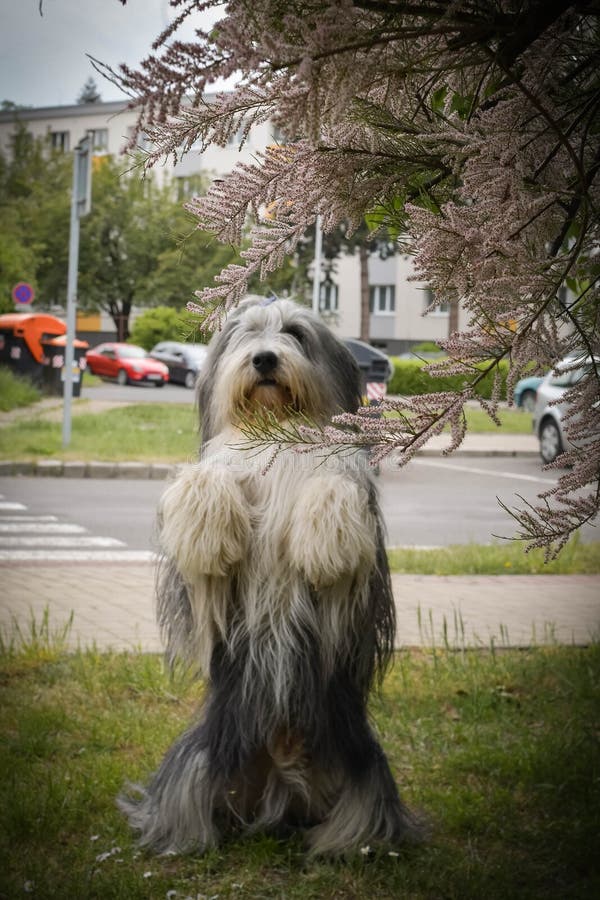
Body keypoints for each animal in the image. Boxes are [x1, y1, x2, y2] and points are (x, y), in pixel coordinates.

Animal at [118, 298, 418, 856]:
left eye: (296, 334)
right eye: (247, 333)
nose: (263, 360)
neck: (275, 428)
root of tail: (280, 784)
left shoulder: (353, 563)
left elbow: (336, 485)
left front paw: (325, 541)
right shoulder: (211, 586)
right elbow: (209, 479)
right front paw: (210, 524)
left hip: (363, 769)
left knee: (358, 812)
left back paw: (344, 846)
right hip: (198, 760)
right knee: (187, 800)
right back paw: (184, 838)